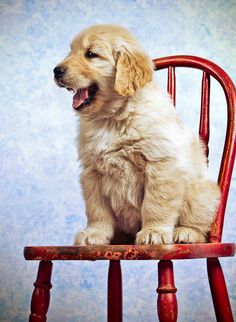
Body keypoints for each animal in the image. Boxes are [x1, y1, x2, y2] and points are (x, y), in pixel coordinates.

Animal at [53, 23, 219, 244]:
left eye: (91, 54)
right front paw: (94, 233)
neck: (113, 117)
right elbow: (96, 209)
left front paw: (154, 232)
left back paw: (185, 233)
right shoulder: (92, 171)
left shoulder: (160, 165)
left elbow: (155, 204)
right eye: (70, 51)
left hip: (202, 191)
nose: (56, 71)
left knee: (200, 223)